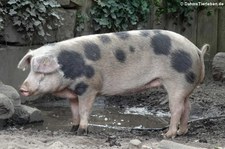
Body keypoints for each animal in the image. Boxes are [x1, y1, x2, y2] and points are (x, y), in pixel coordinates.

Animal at [17, 29, 209, 138]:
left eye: (41, 72)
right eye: (30, 69)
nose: (22, 88)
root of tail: (197, 50)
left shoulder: (89, 87)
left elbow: (84, 110)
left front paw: (81, 132)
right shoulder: (73, 93)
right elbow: (74, 111)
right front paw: (72, 129)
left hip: (177, 82)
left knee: (177, 109)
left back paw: (167, 135)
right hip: (184, 87)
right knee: (187, 107)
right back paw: (182, 132)